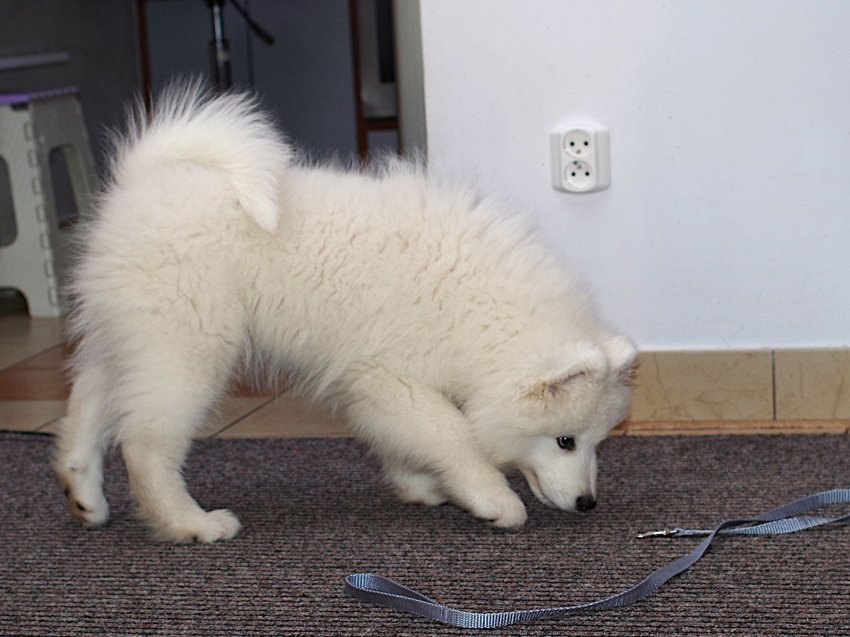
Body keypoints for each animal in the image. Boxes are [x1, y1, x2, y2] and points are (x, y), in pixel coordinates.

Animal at [54, 82, 636, 543]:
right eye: (565, 440)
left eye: (597, 441)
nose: (588, 504)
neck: (486, 310)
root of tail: (140, 182)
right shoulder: (387, 377)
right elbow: (451, 433)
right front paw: (492, 499)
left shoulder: (380, 386)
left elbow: (408, 440)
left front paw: (418, 484)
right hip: (186, 347)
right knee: (144, 443)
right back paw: (190, 523)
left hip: (129, 336)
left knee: (89, 404)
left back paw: (85, 495)